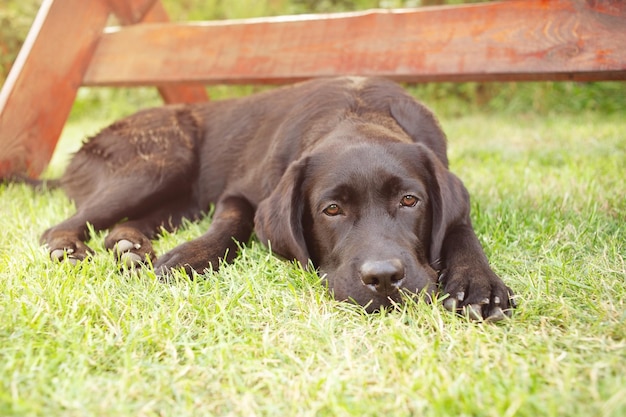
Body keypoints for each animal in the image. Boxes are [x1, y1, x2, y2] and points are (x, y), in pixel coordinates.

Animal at [15, 77, 512, 318]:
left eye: (410, 201)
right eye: (332, 209)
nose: (384, 279)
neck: (357, 111)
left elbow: (460, 230)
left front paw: (478, 283)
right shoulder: (239, 192)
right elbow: (233, 223)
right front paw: (190, 257)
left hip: (179, 195)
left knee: (126, 223)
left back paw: (129, 246)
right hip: (161, 160)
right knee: (60, 225)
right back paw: (69, 248)